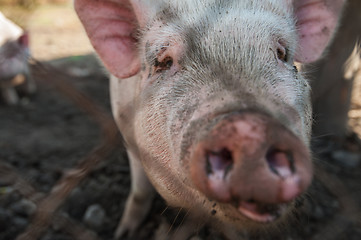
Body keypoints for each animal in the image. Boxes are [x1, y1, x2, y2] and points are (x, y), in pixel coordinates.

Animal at [74, 0, 344, 238]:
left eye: (282, 54)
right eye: (163, 62)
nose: (250, 130)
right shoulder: (124, 126)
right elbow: (139, 188)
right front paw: (124, 233)